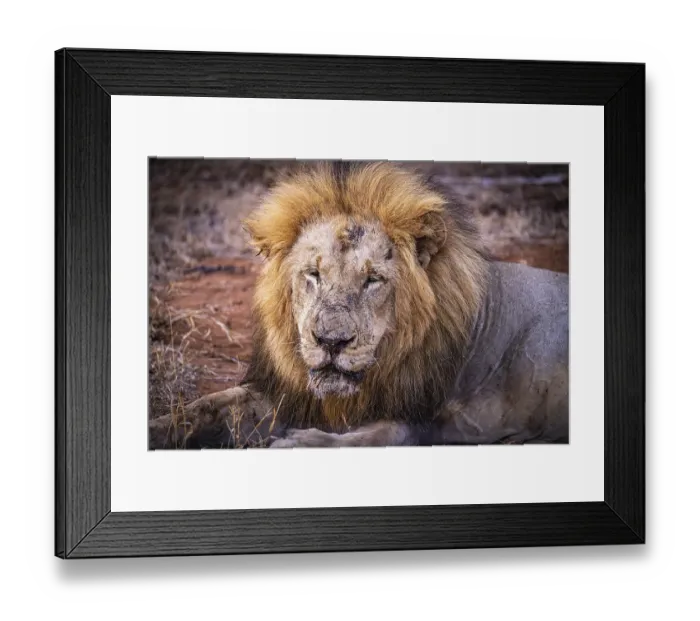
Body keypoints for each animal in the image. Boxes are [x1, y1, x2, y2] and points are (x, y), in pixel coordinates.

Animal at [149, 161, 569, 449]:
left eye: (372, 280)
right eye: (313, 274)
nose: (331, 343)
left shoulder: (435, 421)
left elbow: (378, 435)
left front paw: (300, 443)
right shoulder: (289, 394)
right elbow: (205, 406)